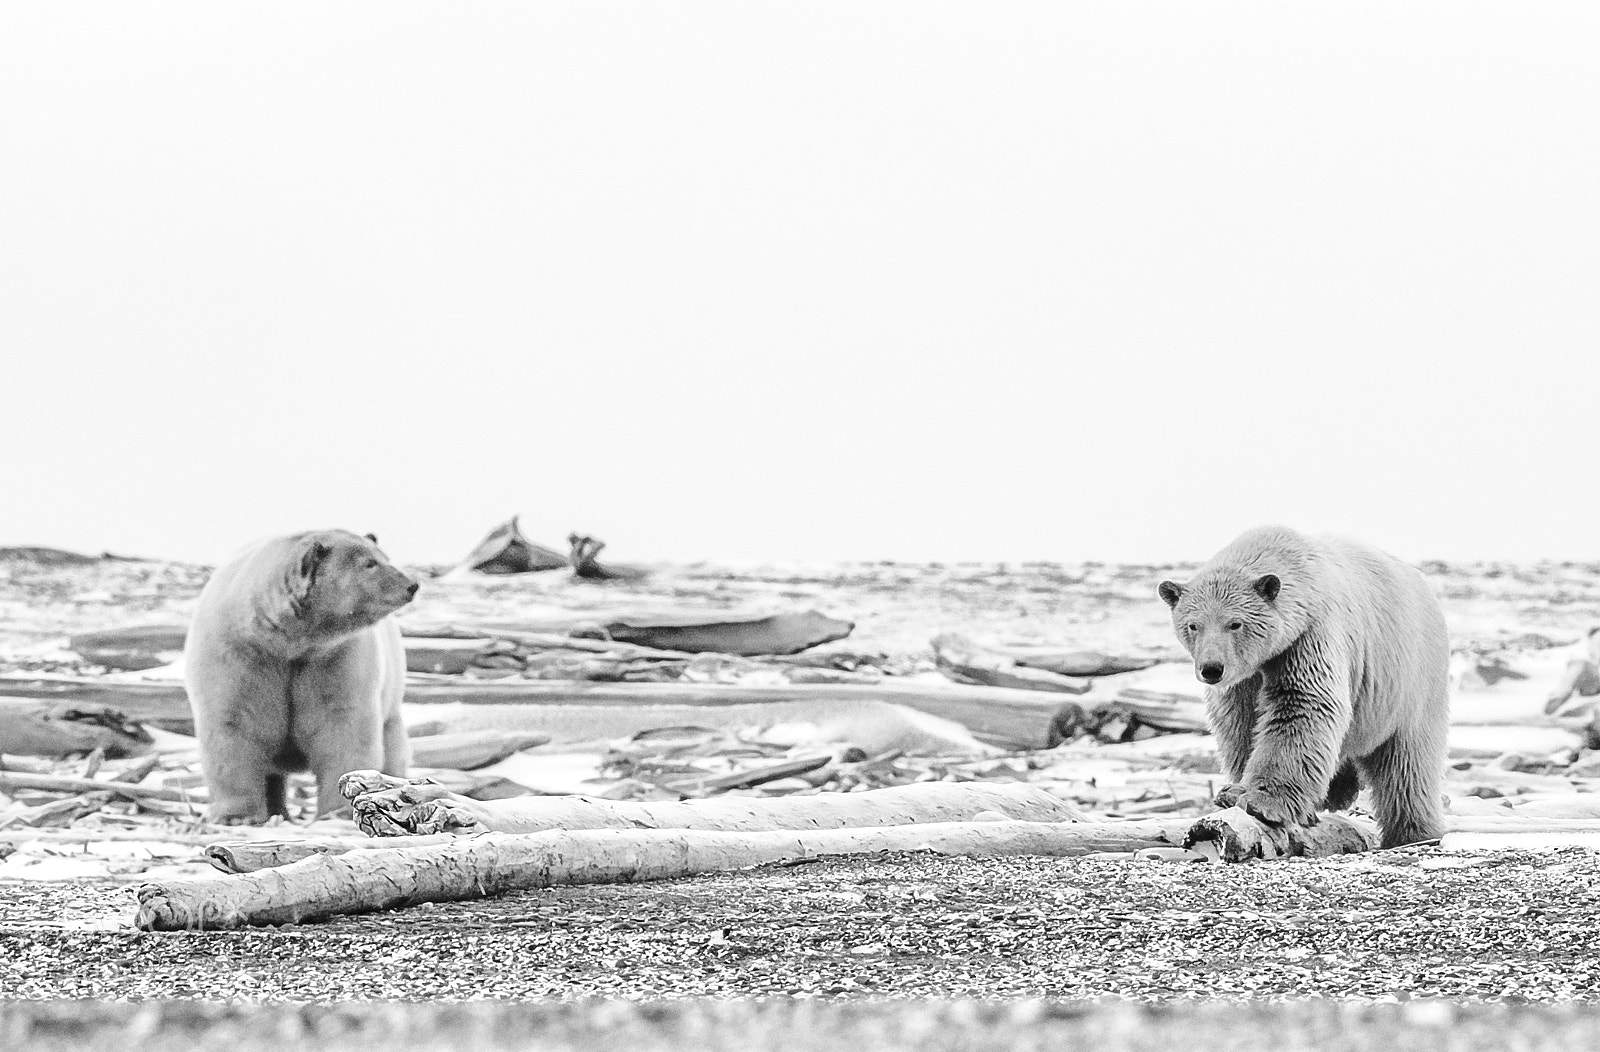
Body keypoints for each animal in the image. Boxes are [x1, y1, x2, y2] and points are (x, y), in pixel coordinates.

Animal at [184, 529, 418, 823]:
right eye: (370, 563)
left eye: (385, 557)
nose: (412, 585)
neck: (286, 641)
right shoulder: (238, 657)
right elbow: (234, 725)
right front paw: (237, 815)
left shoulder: (335, 659)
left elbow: (342, 727)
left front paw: (338, 809)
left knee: (393, 747)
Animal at [1158, 525, 1449, 849]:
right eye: (1193, 625)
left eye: (1235, 623)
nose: (1211, 668)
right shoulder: (1244, 680)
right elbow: (1240, 724)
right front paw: (1231, 792)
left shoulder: (1309, 637)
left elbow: (1301, 705)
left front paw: (1262, 802)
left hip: (1411, 681)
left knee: (1406, 764)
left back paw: (1413, 833)